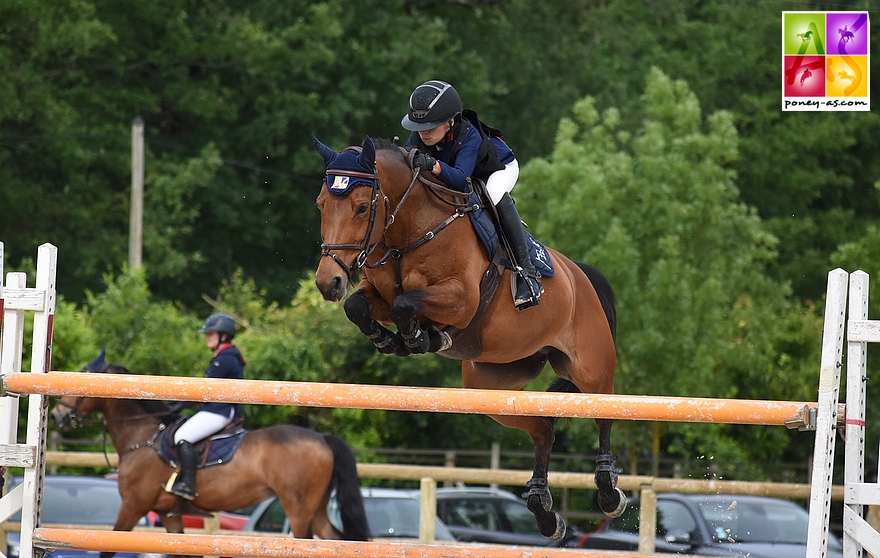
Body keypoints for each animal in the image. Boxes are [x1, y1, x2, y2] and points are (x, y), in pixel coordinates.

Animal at [49, 356, 370, 556]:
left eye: (81, 380)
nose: (57, 416)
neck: (143, 436)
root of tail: (322, 437)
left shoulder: (133, 505)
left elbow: (107, 548)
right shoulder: (168, 514)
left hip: (299, 509)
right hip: (316, 510)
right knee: (337, 543)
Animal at [310, 137, 624, 544]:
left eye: (362, 207)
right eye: (321, 204)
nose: (327, 282)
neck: (411, 229)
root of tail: (580, 275)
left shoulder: (461, 300)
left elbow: (404, 304)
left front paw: (420, 337)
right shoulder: (376, 291)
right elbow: (359, 305)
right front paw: (391, 340)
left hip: (590, 368)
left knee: (604, 414)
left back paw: (608, 490)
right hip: (491, 384)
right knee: (543, 430)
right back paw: (544, 513)